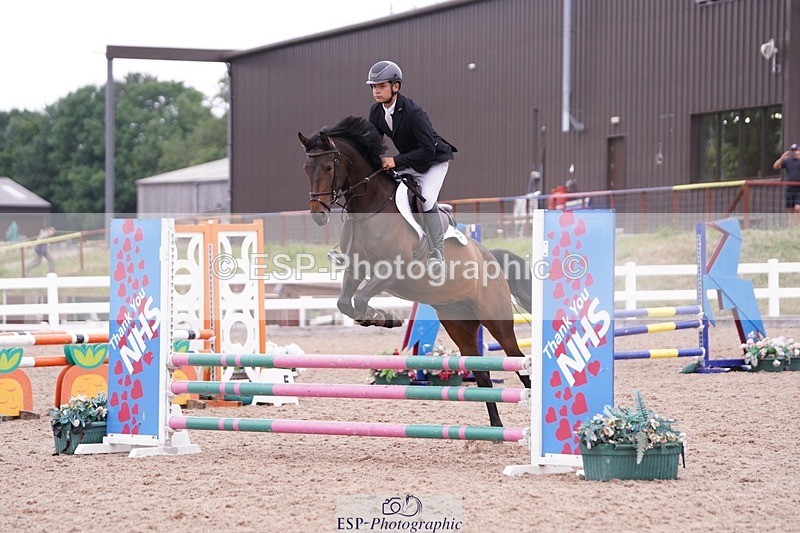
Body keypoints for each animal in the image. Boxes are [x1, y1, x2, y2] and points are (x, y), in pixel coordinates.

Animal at [298, 115, 532, 427]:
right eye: (306, 168)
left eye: (327, 167)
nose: (318, 214)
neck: (370, 207)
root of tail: (490, 257)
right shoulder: (357, 268)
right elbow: (345, 303)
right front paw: (380, 318)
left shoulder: (393, 269)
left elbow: (359, 300)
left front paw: (382, 317)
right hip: (459, 322)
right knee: (481, 373)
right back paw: (496, 429)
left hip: (496, 319)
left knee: (521, 364)